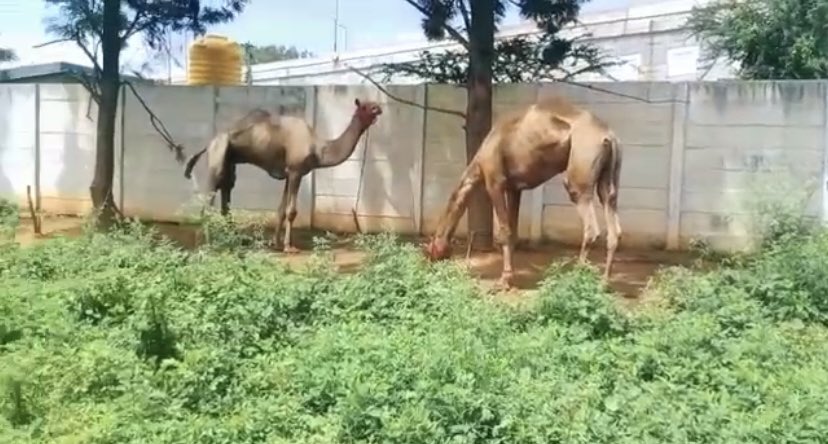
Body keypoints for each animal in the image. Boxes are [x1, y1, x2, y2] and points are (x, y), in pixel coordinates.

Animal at [183, 98, 383, 253]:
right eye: (365, 106)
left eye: (373, 105)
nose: (378, 108)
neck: (318, 149)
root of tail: (209, 143)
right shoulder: (296, 171)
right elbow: (291, 211)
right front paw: (289, 246)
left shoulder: (288, 174)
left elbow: (280, 209)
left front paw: (276, 243)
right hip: (218, 155)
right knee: (208, 197)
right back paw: (208, 241)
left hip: (230, 159)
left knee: (226, 190)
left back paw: (230, 238)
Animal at [423, 96, 622, 289]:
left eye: (431, 250)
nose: (430, 262)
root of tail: (609, 137)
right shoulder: (515, 188)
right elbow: (513, 232)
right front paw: (510, 278)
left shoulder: (495, 182)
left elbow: (504, 232)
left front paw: (503, 281)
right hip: (608, 179)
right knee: (613, 224)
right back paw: (604, 283)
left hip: (579, 172)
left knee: (590, 228)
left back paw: (576, 280)